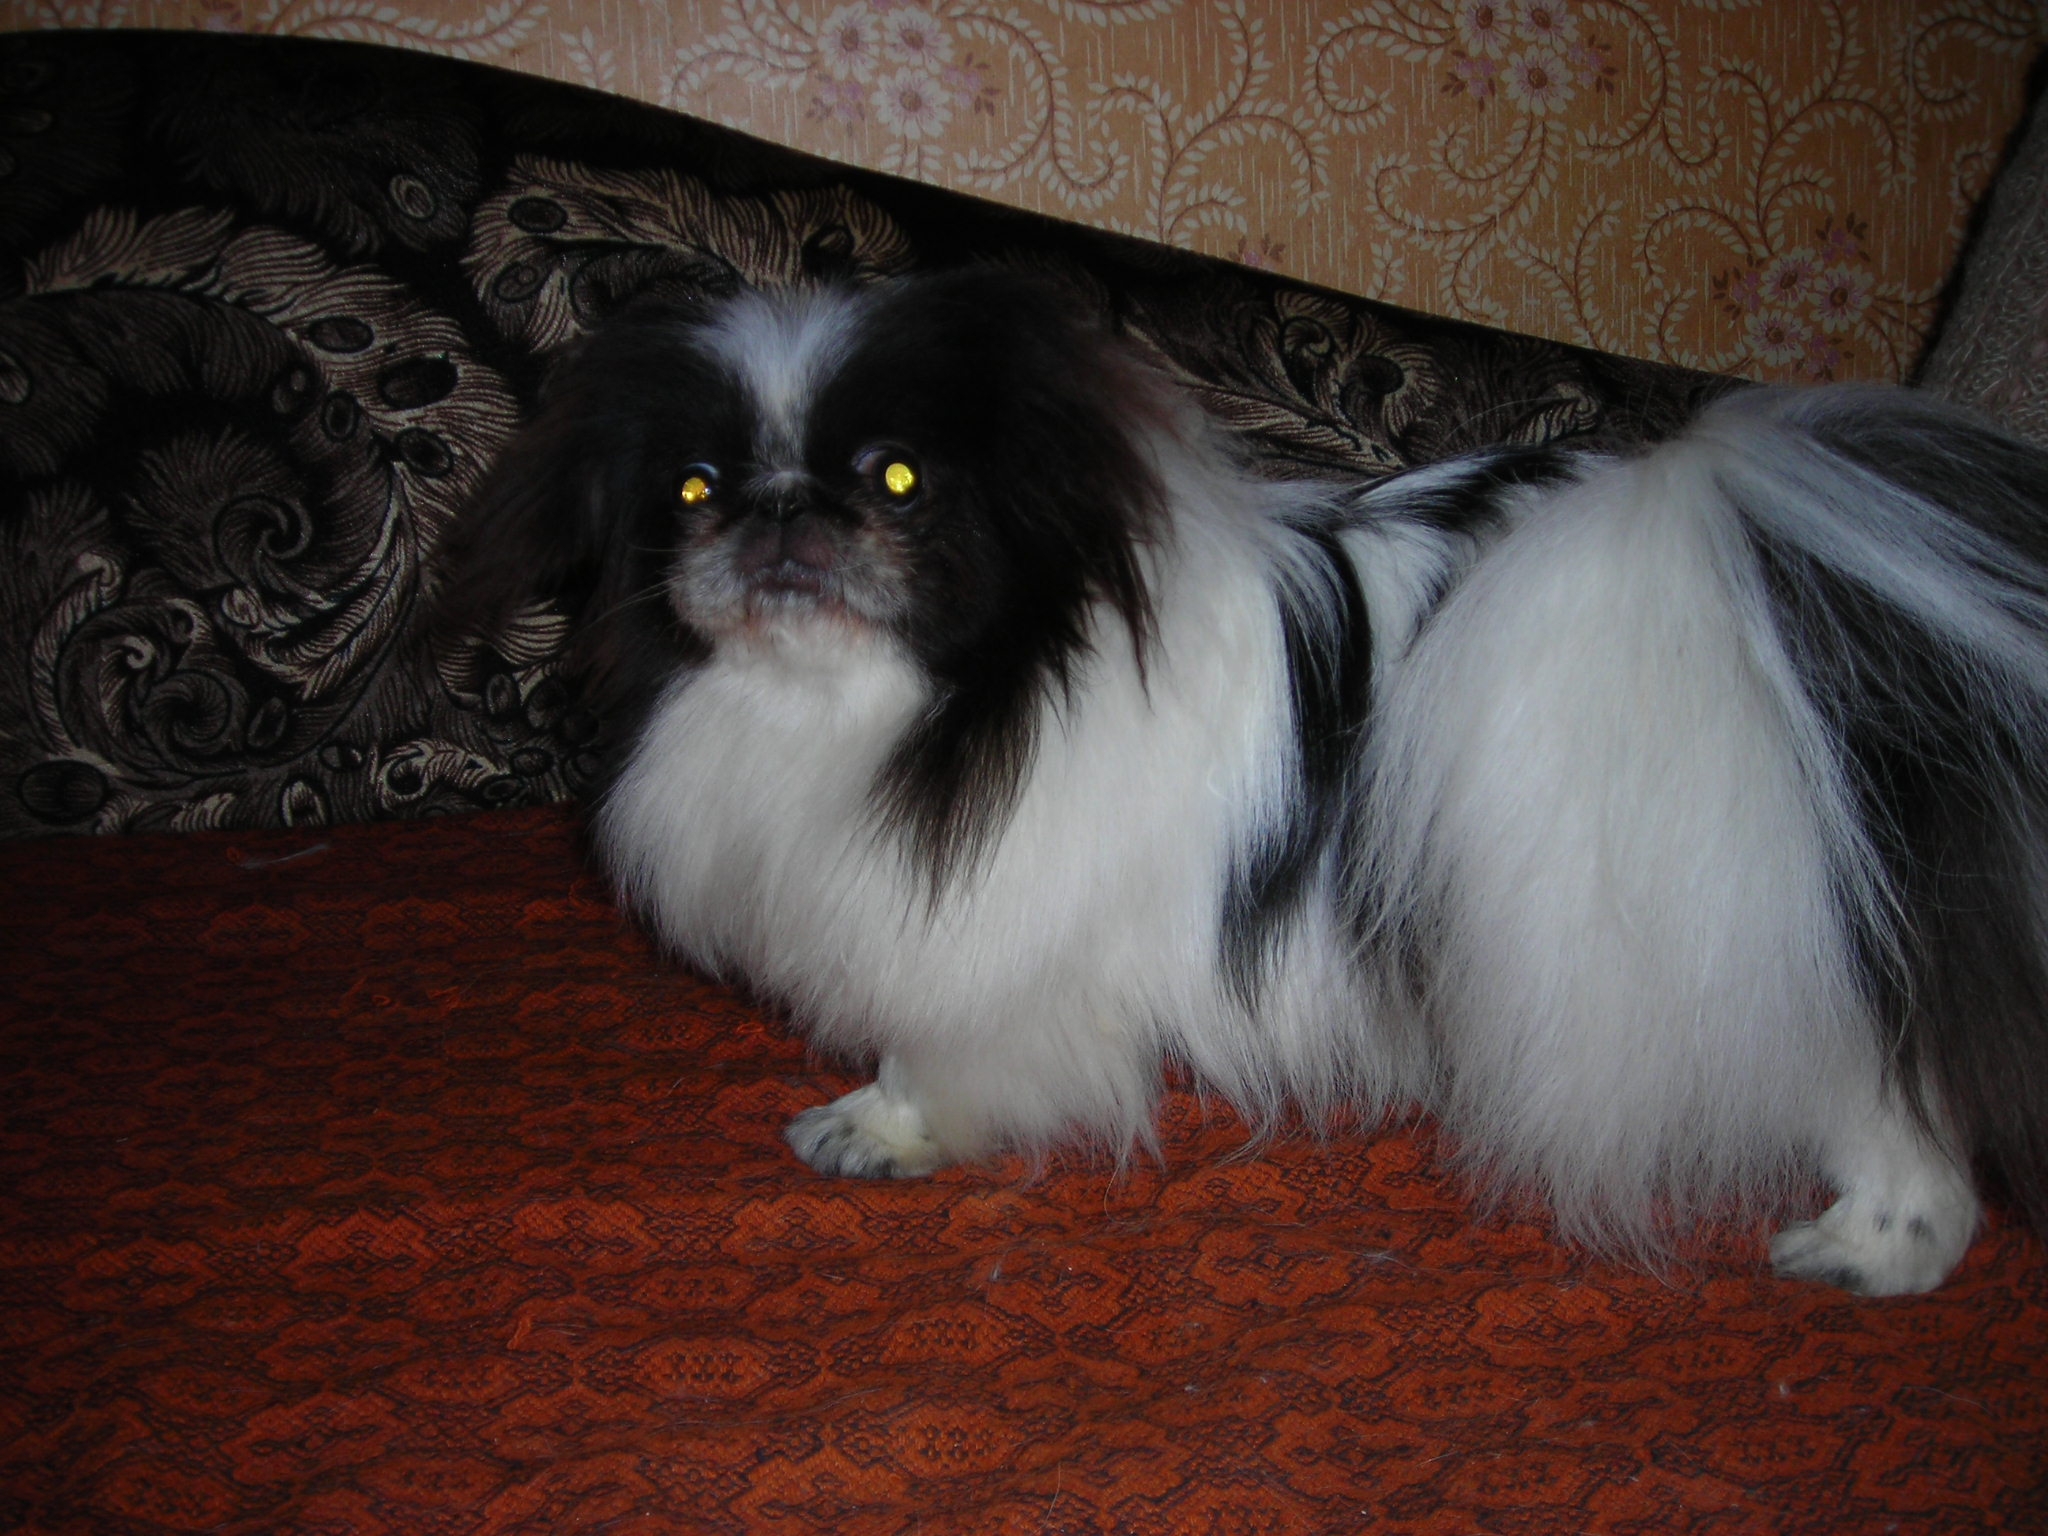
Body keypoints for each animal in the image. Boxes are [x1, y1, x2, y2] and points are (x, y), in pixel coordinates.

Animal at [450, 266, 2048, 1294]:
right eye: (697, 492)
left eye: (895, 479)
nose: (782, 513)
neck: (912, 698)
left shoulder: (987, 927)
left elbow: (932, 1045)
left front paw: (880, 1130)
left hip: (1754, 936)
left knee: (1888, 1091)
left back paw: (1874, 1248)